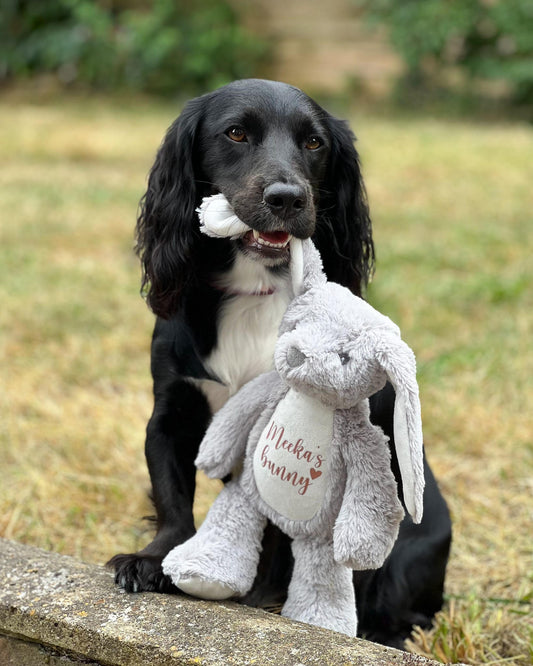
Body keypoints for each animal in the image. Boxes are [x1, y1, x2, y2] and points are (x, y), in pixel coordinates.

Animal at [108, 79, 448, 648]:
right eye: (235, 133)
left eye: (314, 143)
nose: (287, 198)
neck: (253, 287)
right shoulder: (172, 411)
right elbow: (173, 497)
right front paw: (153, 561)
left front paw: (270, 608)